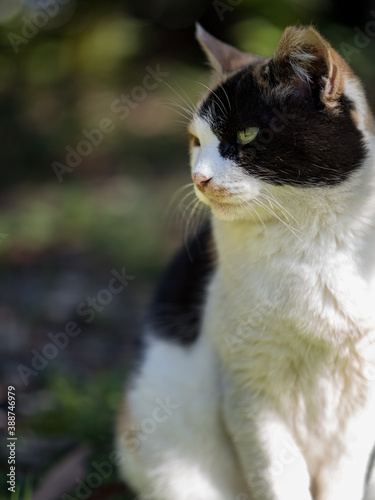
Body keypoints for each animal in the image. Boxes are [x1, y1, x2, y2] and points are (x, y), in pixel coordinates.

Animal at [115, 23, 375, 500]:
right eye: (195, 141)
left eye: (249, 135)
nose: (198, 177)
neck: (309, 245)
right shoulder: (248, 391)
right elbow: (278, 477)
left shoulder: (361, 403)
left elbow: (342, 478)